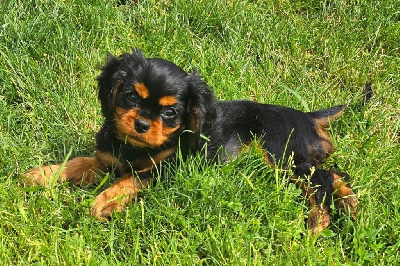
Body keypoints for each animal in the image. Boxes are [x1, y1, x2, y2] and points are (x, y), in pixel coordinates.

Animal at [24, 49, 362, 233]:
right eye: (131, 96)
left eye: (170, 113)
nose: (142, 124)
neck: (135, 148)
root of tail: (308, 116)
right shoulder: (106, 160)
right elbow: (80, 162)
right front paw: (42, 174)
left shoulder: (166, 170)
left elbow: (131, 179)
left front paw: (107, 200)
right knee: (333, 174)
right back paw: (351, 204)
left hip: (282, 156)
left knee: (322, 181)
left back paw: (319, 220)